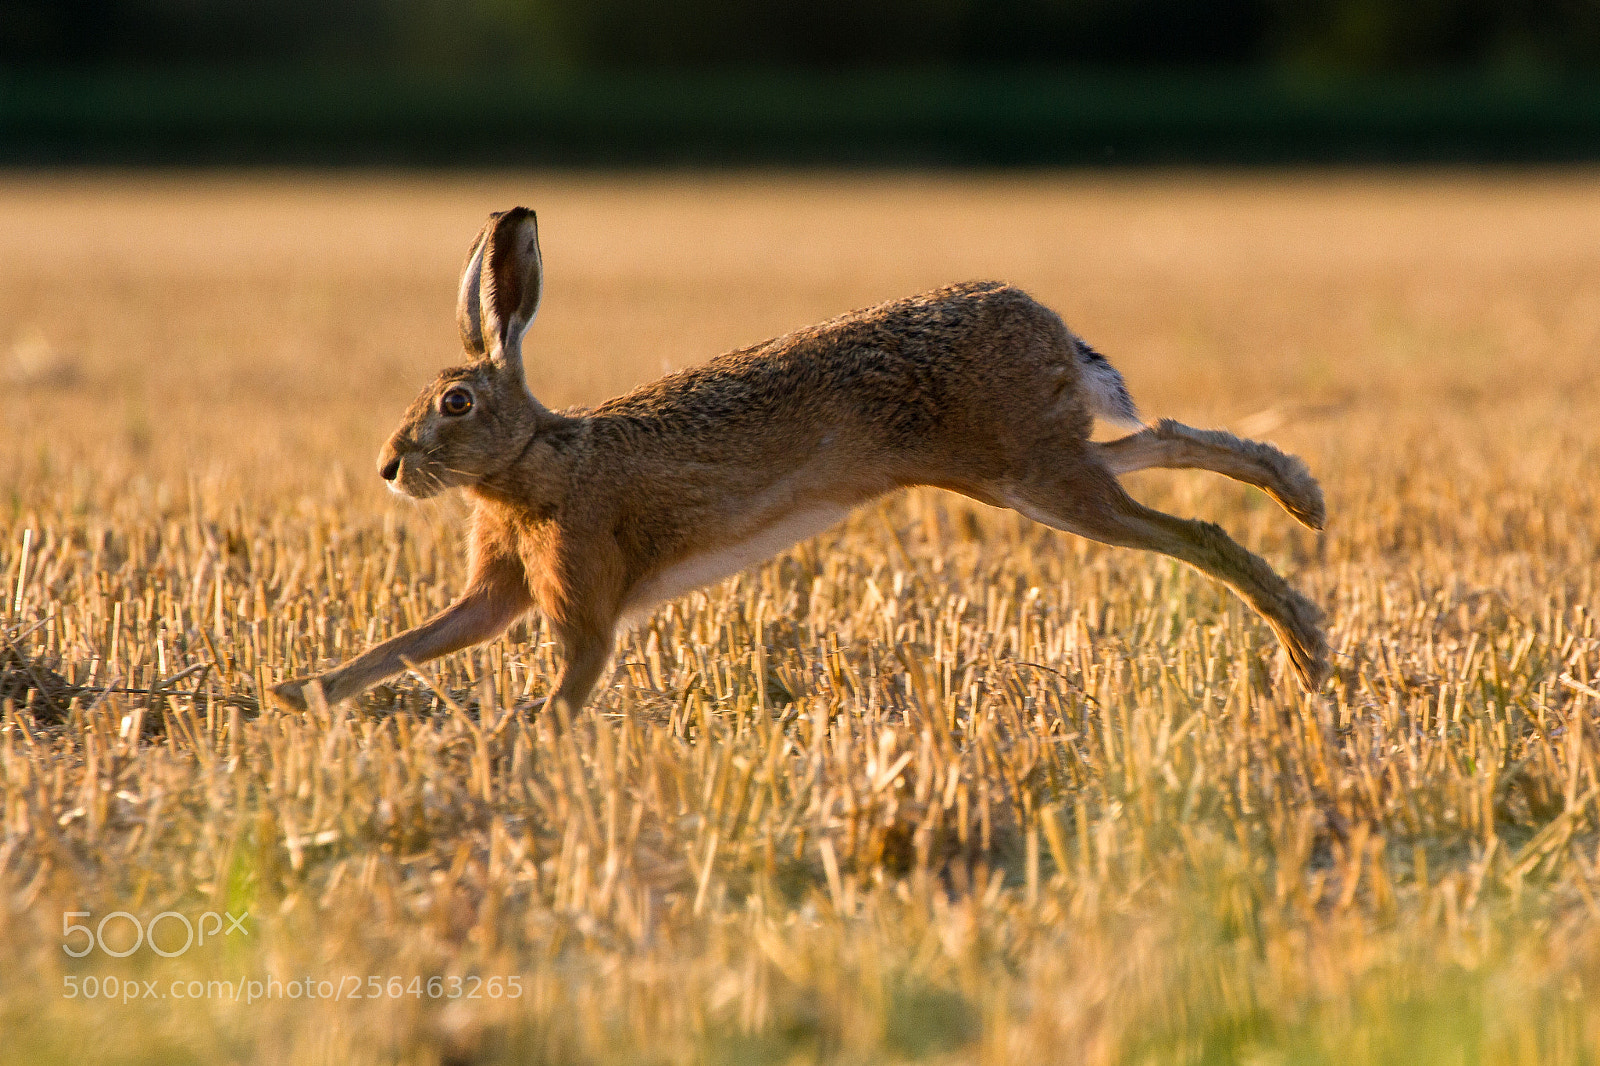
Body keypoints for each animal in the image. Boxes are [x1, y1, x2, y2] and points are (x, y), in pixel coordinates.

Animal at [273, 207, 1328, 720]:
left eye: (455, 404)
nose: (388, 467)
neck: (538, 455)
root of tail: (1050, 325)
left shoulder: (583, 602)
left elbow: (568, 684)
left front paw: (517, 749)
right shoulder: (500, 595)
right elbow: (414, 642)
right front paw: (298, 696)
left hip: (1035, 477)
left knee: (1192, 531)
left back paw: (1305, 640)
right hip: (1025, 468)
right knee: (1158, 441)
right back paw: (1302, 496)